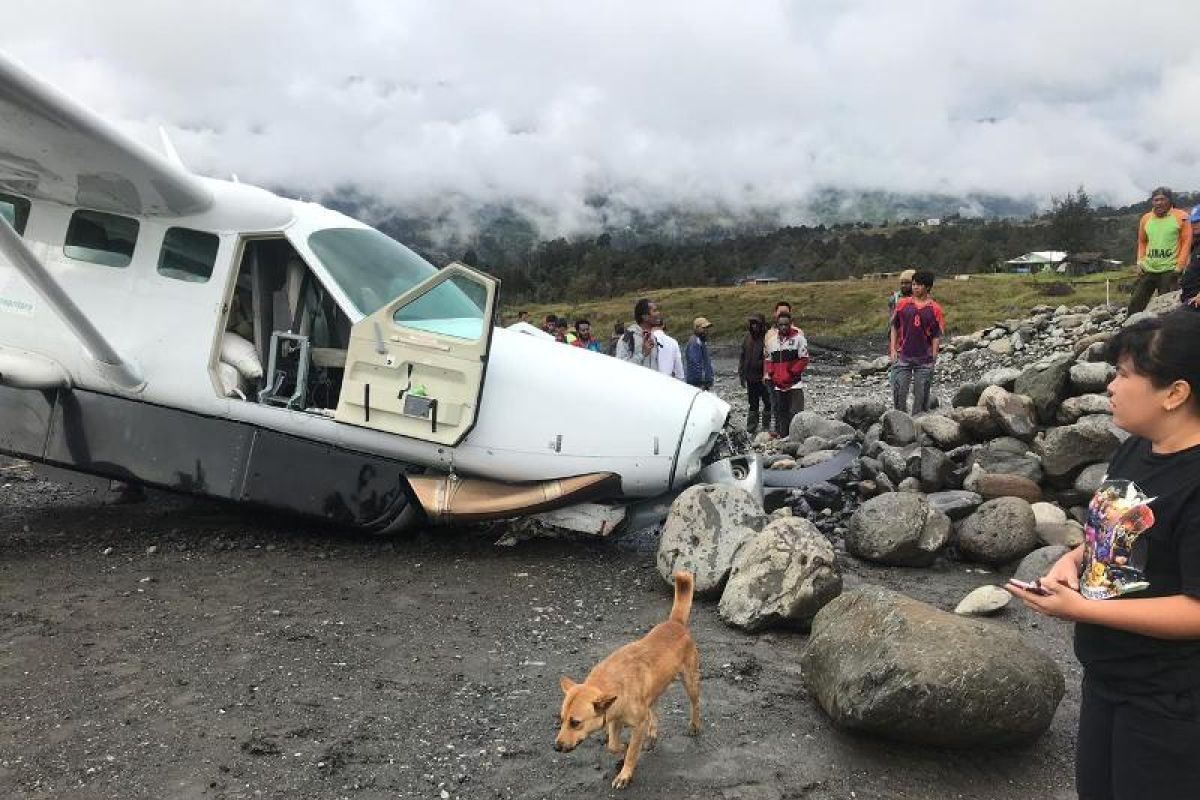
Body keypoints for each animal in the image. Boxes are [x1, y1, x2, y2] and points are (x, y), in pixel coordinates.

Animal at [554, 568, 700, 786]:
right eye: (562, 720)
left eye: (575, 722)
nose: (556, 747)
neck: (611, 684)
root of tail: (675, 623)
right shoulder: (613, 719)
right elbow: (613, 745)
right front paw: (622, 748)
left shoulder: (636, 725)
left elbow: (632, 751)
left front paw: (625, 772)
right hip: (654, 692)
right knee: (653, 712)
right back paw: (652, 734)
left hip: (690, 682)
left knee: (695, 704)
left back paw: (694, 726)